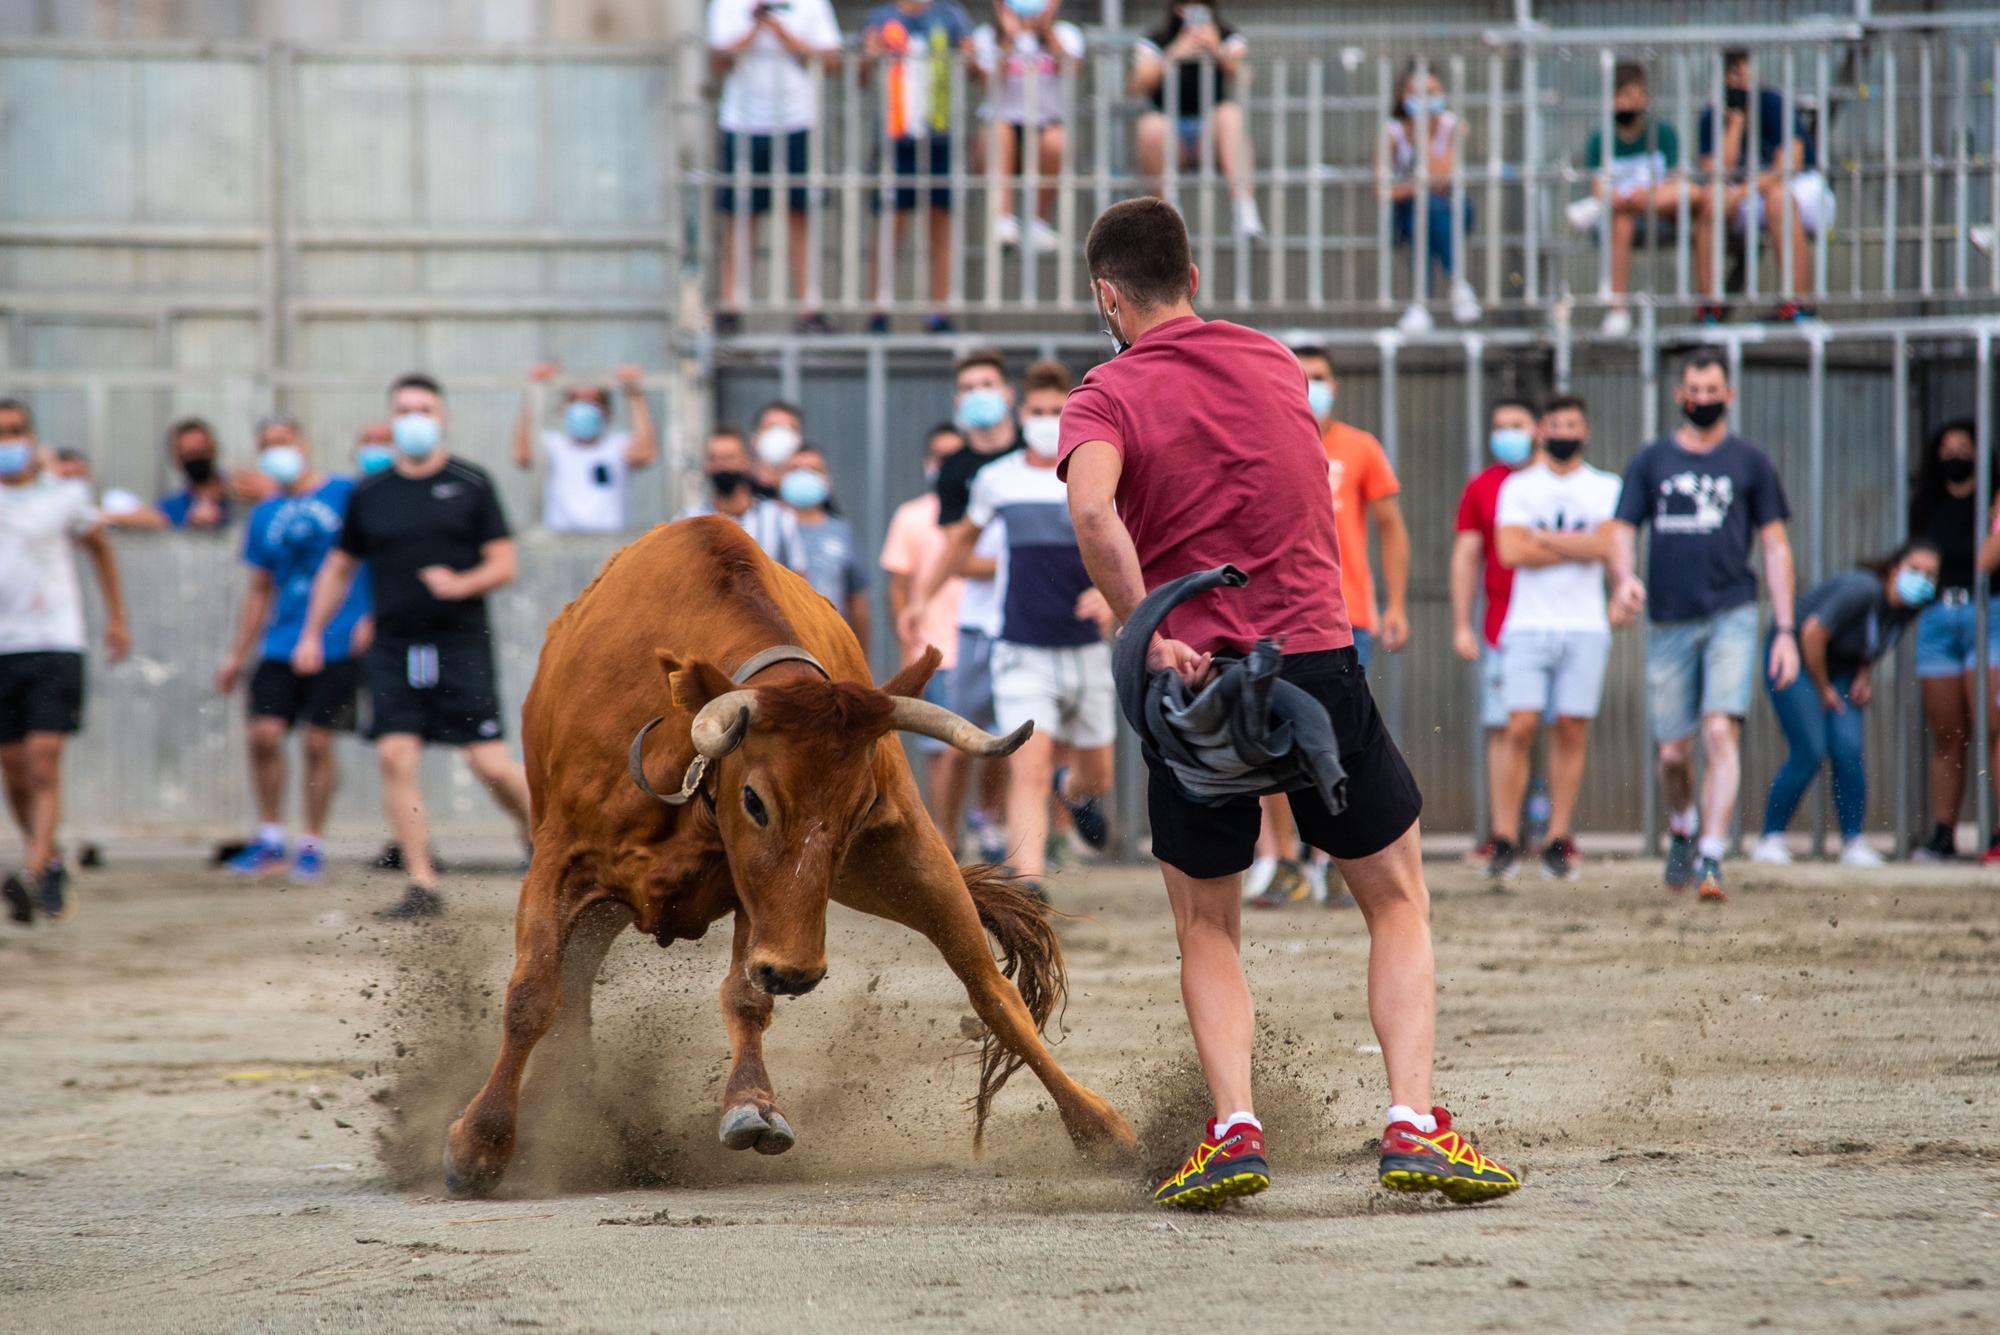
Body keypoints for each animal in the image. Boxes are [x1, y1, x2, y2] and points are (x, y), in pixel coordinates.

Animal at [450, 515, 1144, 1191]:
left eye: (860, 807)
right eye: (754, 800)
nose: (798, 973)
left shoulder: (765, 897)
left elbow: (746, 995)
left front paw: (751, 1105)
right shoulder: (561, 862)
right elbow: (532, 995)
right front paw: (480, 1143)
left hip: (902, 862)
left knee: (990, 989)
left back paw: (1098, 1126)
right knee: (572, 986)